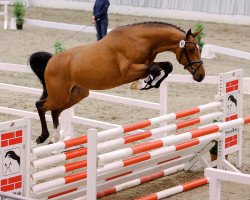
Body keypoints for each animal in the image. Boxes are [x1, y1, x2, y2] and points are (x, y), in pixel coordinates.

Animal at [29, 21, 205, 144]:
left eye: (199, 49)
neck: (139, 40)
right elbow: (155, 69)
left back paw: (55, 138)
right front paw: (143, 84)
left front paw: (150, 83)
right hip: (60, 94)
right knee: (41, 106)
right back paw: (43, 137)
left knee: (54, 111)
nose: (201, 76)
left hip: (76, 95)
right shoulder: (128, 72)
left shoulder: (146, 64)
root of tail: (52, 60)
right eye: (191, 50)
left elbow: (166, 66)